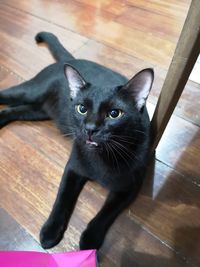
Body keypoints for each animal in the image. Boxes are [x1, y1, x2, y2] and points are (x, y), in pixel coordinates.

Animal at [0, 31, 153, 251]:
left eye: (114, 114)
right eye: (82, 109)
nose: (90, 128)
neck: (102, 156)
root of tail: (71, 60)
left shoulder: (128, 186)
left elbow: (106, 213)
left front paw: (90, 239)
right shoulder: (73, 168)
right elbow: (62, 199)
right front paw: (50, 231)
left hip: (38, 111)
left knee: (12, 110)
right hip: (29, 93)